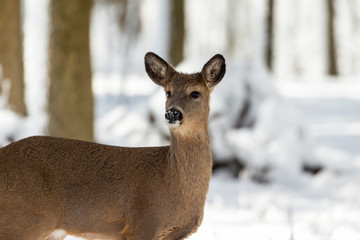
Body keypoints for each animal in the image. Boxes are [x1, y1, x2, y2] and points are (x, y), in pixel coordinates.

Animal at [0, 51, 225, 239]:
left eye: (195, 93)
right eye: (168, 92)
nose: (172, 113)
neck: (172, 179)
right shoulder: (141, 225)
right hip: (23, 220)